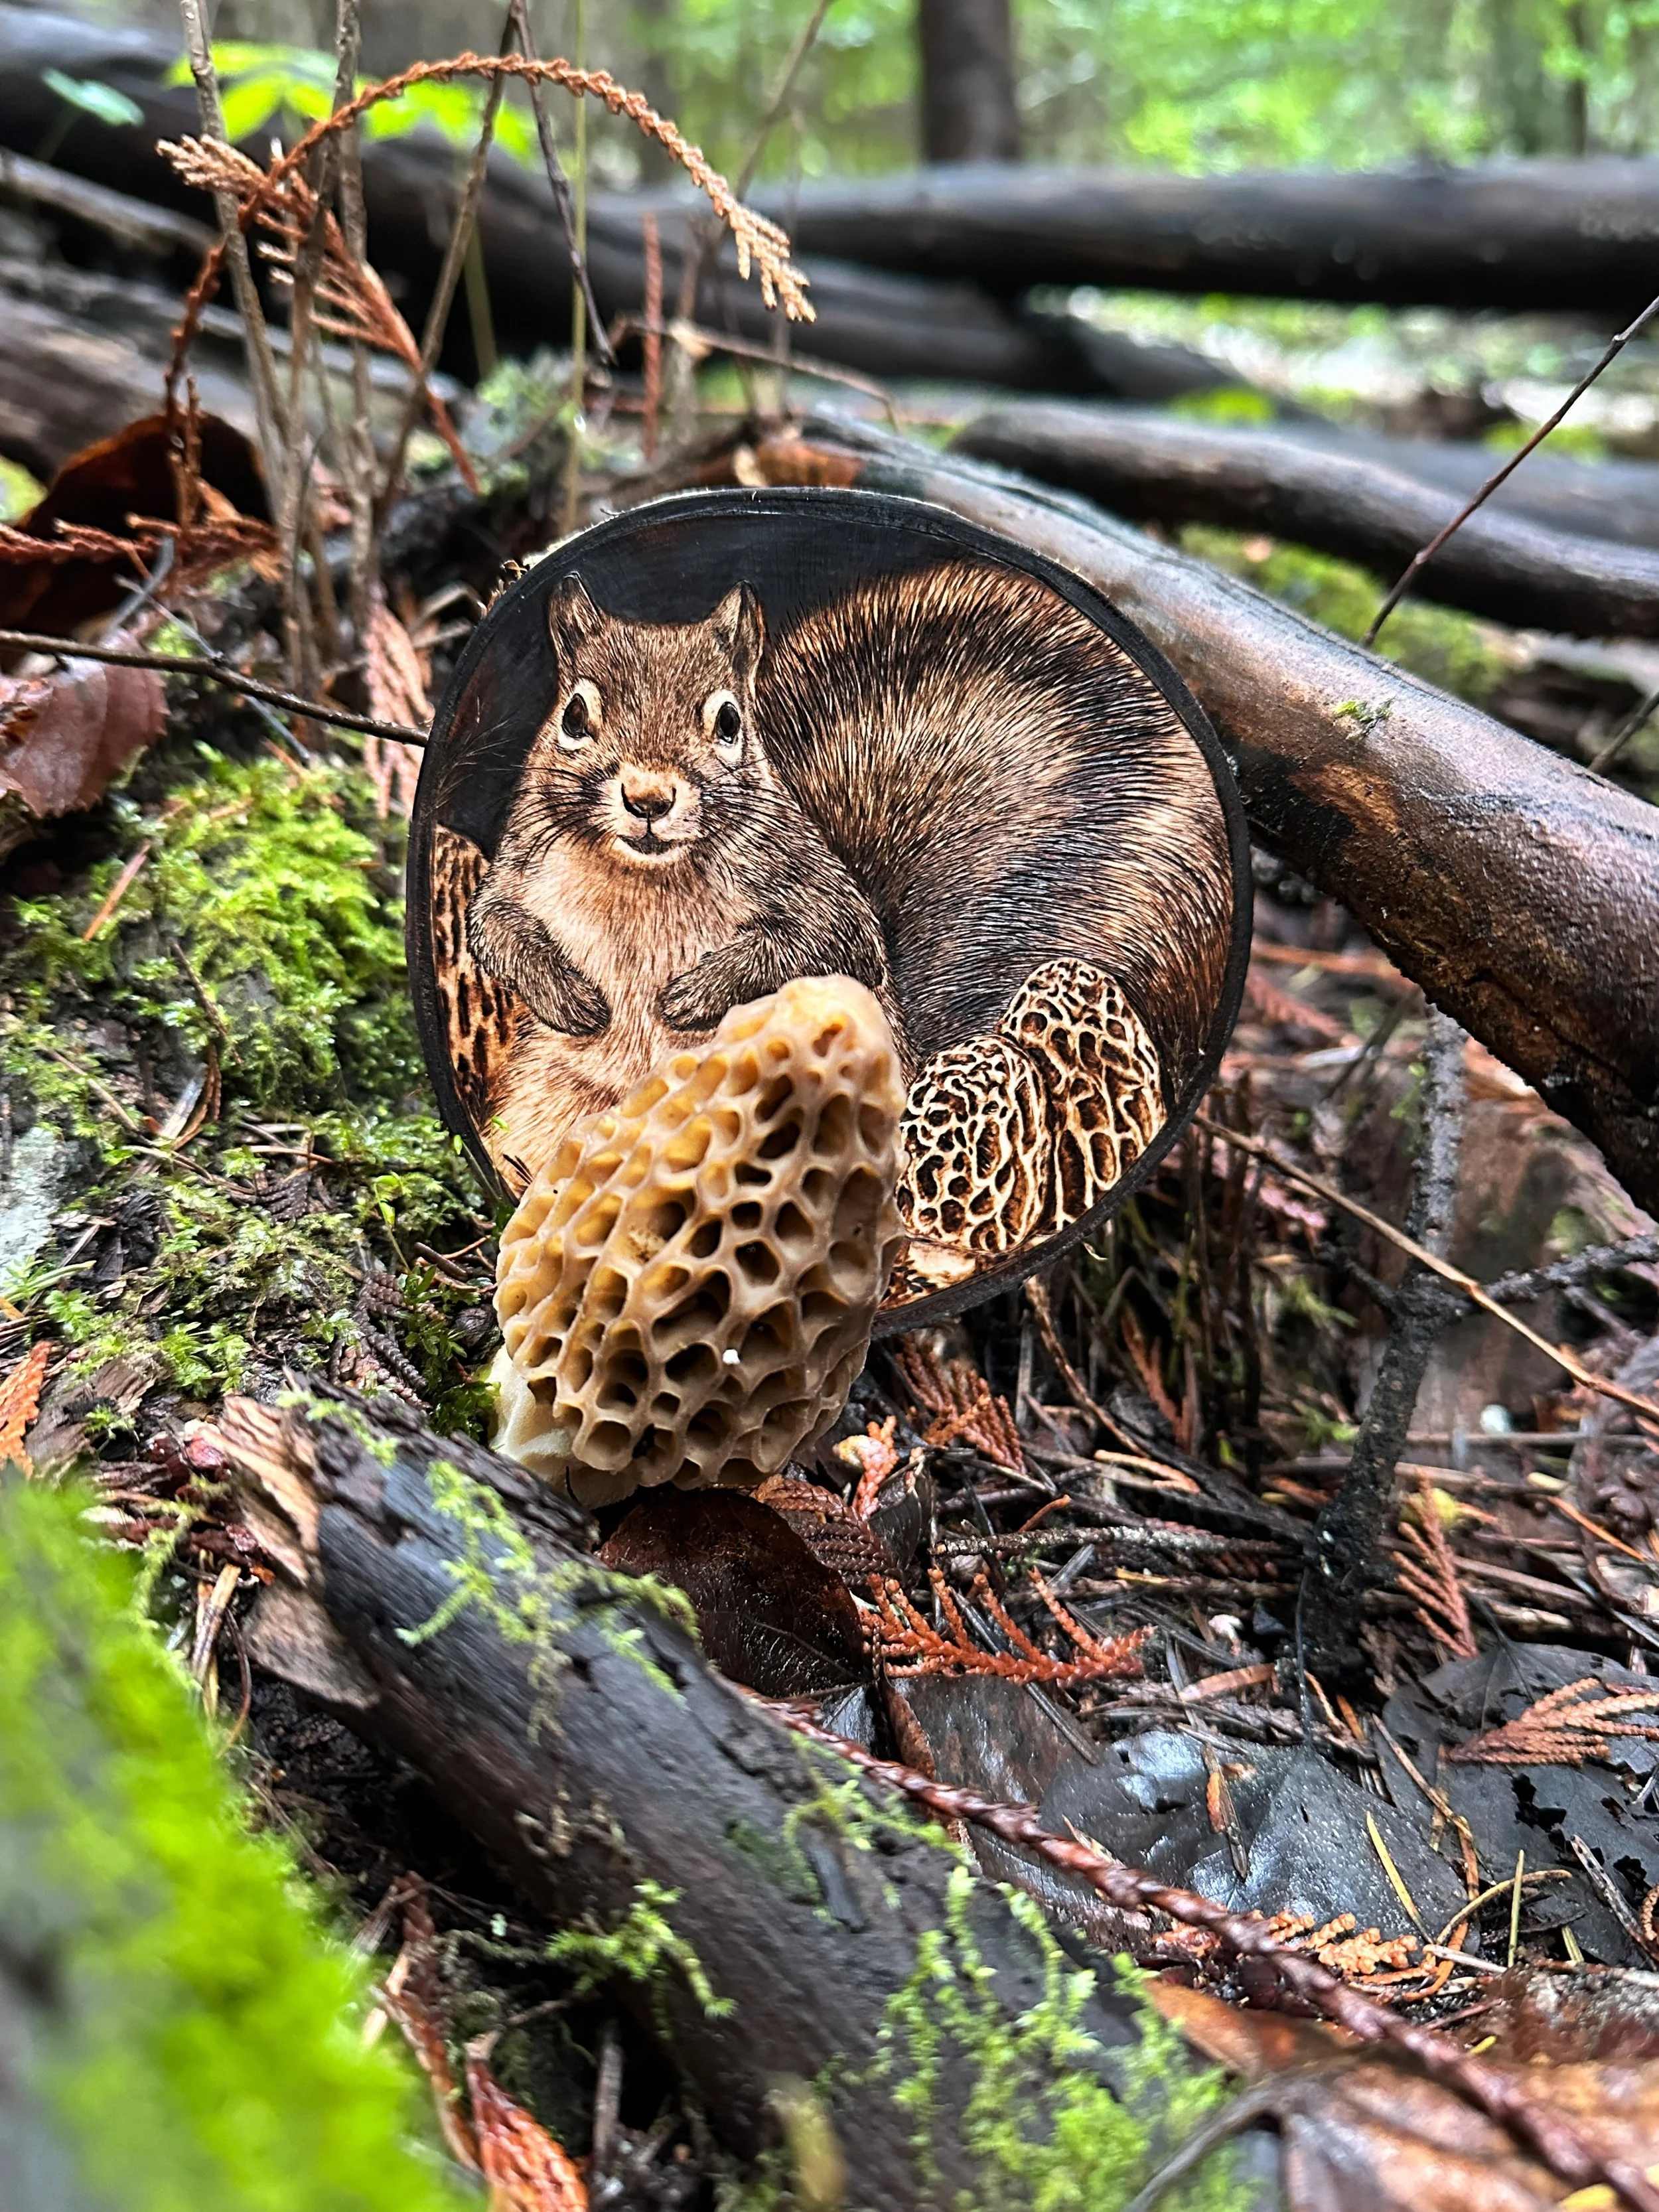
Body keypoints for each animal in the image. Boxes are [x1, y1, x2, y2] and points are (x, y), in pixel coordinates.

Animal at [431, 559, 1235, 1257]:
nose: (649, 799)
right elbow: (493, 925)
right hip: (544, 1108)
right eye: (574, 714)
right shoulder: (521, 862)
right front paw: (570, 997)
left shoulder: (804, 881)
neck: (640, 875)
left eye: (730, 722)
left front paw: (693, 994)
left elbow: (830, 941)